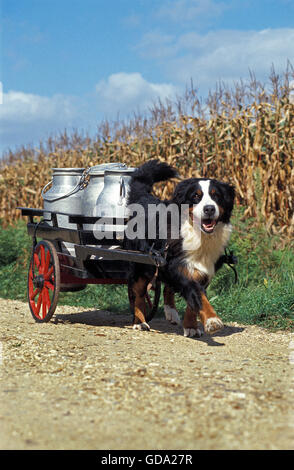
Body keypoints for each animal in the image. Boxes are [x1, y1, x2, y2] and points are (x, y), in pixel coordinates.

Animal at [125, 160, 235, 336]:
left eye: (216, 195)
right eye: (196, 196)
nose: (209, 209)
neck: (200, 237)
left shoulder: (202, 272)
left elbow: (192, 303)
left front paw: (191, 326)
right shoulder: (180, 266)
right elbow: (198, 296)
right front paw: (213, 320)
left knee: (167, 288)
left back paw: (171, 313)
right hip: (141, 264)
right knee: (138, 293)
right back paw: (140, 321)